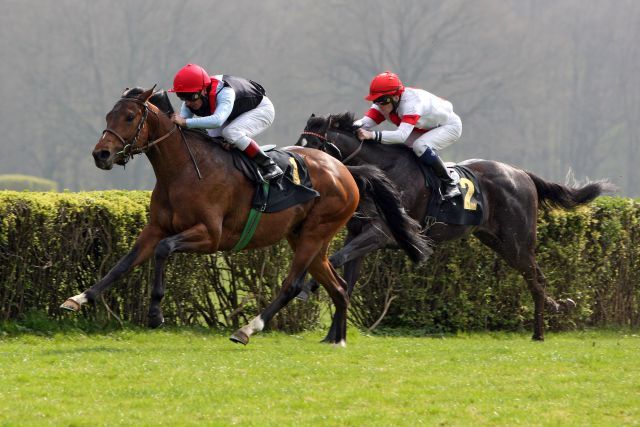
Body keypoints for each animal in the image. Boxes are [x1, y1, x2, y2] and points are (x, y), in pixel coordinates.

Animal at [60, 88, 430, 346]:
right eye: (110, 115)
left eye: (128, 117)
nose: (101, 154)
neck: (183, 169)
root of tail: (347, 170)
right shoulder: (155, 227)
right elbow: (123, 264)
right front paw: (78, 299)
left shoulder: (209, 235)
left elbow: (164, 250)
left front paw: (155, 313)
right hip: (308, 237)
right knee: (338, 286)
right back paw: (336, 340)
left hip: (315, 233)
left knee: (292, 284)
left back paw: (247, 329)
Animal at [296, 112, 616, 342]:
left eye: (314, 145)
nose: (301, 171)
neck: (382, 172)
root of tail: (523, 174)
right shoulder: (359, 235)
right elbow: (345, 278)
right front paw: (332, 335)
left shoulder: (381, 234)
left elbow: (335, 260)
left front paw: (304, 289)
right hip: (498, 242)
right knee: (536, 278)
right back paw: (555, 309)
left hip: (518, 243)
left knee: (537, 279)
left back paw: (540, 331)